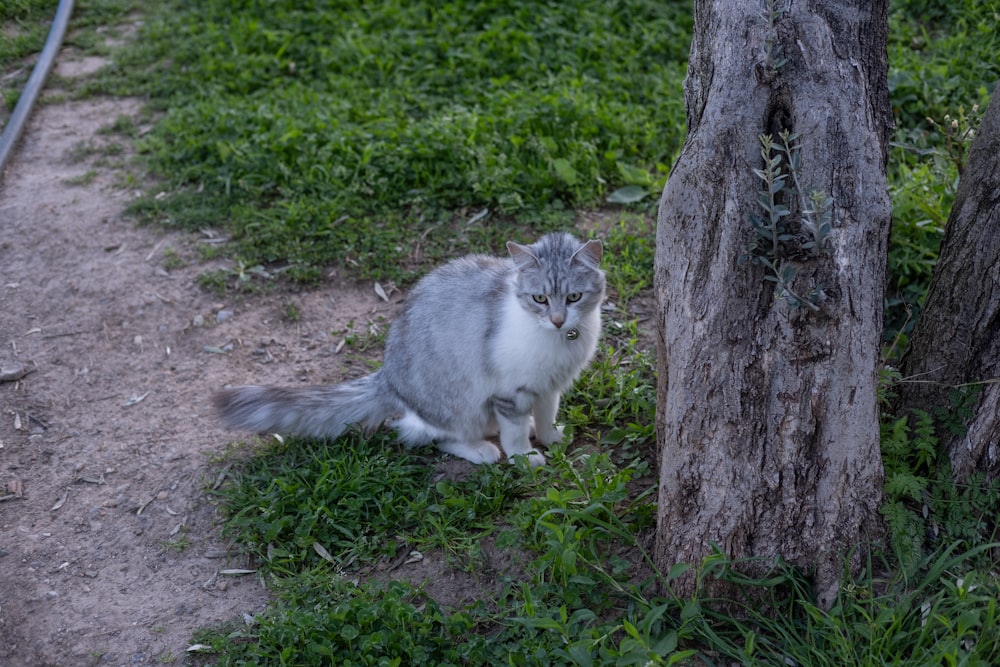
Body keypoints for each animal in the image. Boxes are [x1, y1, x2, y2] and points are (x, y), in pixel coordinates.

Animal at [215, 232, 604, 468]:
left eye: (574, 297)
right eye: (540, 299)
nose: (557, 320)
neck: (560, 342)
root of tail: (387, 377)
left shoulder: (548, 387)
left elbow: (546, 415)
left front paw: (550, 437)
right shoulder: (511, 392)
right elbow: (516, 431)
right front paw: (524, 457)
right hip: (460, 407)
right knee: (429, 435)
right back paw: (482, 450)